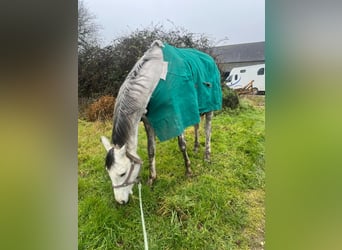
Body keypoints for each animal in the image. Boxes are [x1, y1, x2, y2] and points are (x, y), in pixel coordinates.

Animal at [100, 39, 222, 203]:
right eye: (109, 173)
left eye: (122, 173)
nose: (120, 202)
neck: (155, 77)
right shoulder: (148, 121)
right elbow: (151, 150)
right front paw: (152, 178)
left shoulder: (177, 115)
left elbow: (182, 145)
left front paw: (189, 171)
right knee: (196, 125)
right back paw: (196, 147)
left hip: (210, 106)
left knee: (207, 130)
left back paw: (207, 156)